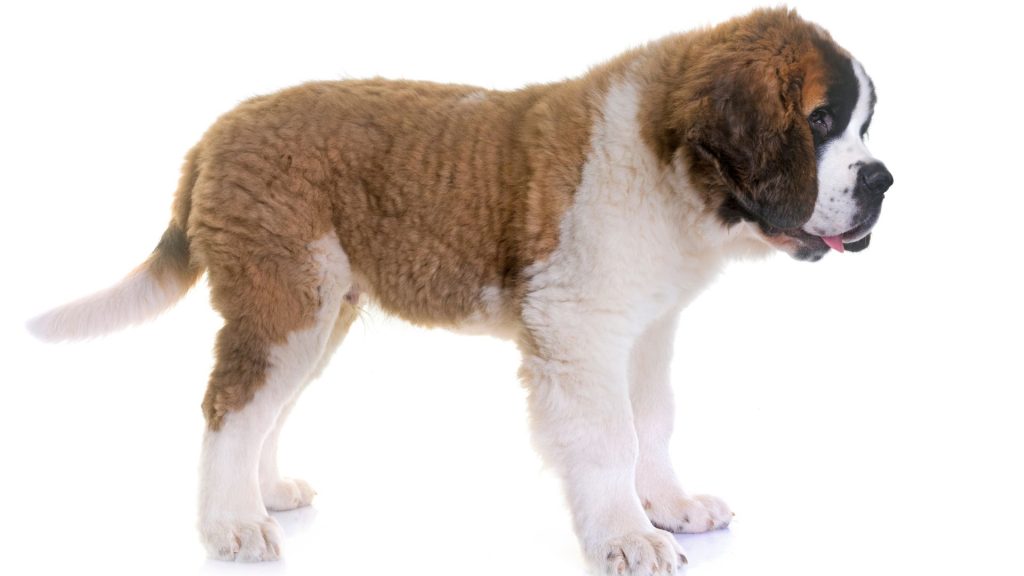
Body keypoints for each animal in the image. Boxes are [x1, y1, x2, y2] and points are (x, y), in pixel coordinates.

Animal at [28, 6, 892, 569]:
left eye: (863, 126)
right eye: (820, 122)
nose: (884, 180)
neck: (668, 160)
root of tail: (213, 134)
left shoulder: (647, 329)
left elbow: (652, 421)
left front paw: (670, 506)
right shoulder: (577, 328)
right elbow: (609, 436)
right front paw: (624, 535)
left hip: (314, 311)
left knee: (267, 405)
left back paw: (263, 494)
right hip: (286, 296)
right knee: (230, 406)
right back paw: (229, 525)